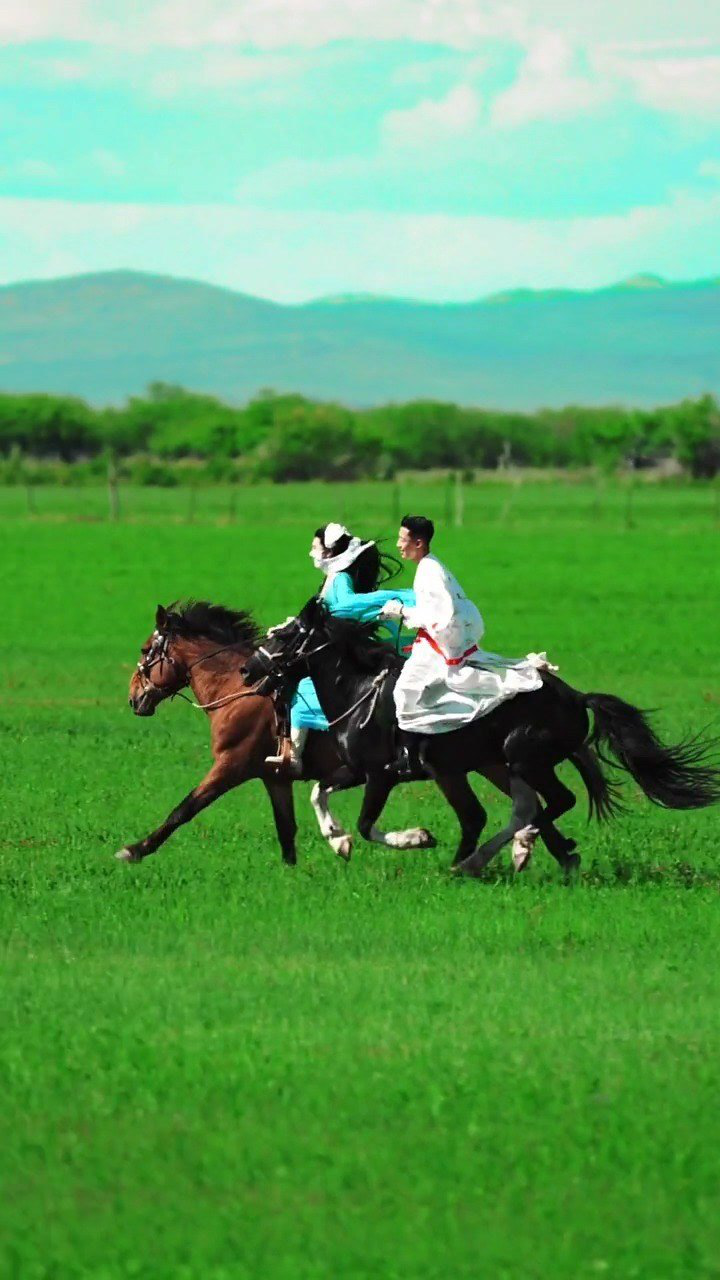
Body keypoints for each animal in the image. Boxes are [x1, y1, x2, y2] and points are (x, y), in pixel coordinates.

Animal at [117, 596, 435, 860]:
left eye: (145, 650)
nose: (133, 697)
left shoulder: (230, 766)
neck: (237, 689)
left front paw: (134, 850)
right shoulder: (275, 778)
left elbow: (183, 809)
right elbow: (287, 832)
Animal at [242, 593, 717, 875]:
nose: (248, 669)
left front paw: (417, 838)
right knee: (514, 810)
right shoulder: (355, 770)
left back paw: (500, 853)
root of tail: (577, 697)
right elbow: (318, 791)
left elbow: (366, 823)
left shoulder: (381, 775)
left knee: (545, 803)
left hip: (522, 757)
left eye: (286, 635)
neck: (358, 693)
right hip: (489, 765)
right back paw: (501, 857)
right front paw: (337, 841)